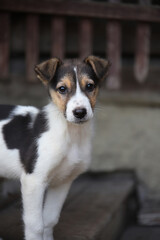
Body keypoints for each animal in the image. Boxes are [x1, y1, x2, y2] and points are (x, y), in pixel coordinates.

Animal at [0, 55, 109, 240]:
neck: (71, 135)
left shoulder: (63, 181)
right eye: (62, 89)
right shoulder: (33, 180)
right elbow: (36, 225)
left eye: (90, 86)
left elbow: (50, 220)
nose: (80, 112)